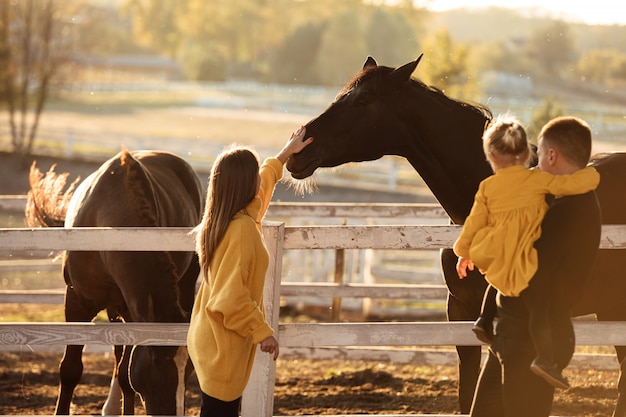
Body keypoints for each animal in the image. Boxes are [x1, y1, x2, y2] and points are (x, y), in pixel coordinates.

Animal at [26, 148, 202, 414]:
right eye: (159, 363)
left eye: (190, 370)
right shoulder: (76, 302)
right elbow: (70, 369)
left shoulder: (131, 311)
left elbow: (125, 374)